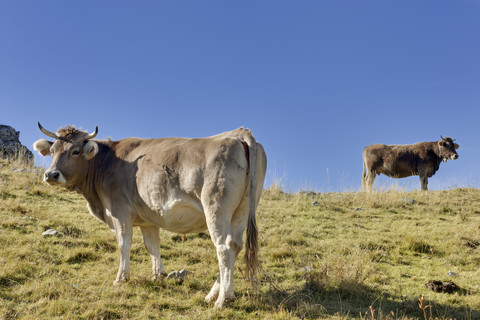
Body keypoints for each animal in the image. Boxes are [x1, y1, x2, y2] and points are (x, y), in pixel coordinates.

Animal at [33, 122, 266, 308]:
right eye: (52, 150)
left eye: (75, 151)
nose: (51, 174)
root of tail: (239, 133)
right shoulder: (147, 219)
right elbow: (152, 246)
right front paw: (158, 275)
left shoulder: (119, 212)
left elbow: (124, 244)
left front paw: (121, 278)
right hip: (242, 211)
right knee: (235, 245)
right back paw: (217, 294)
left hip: (216, 208)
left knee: (224, 247)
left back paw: (222, 300)